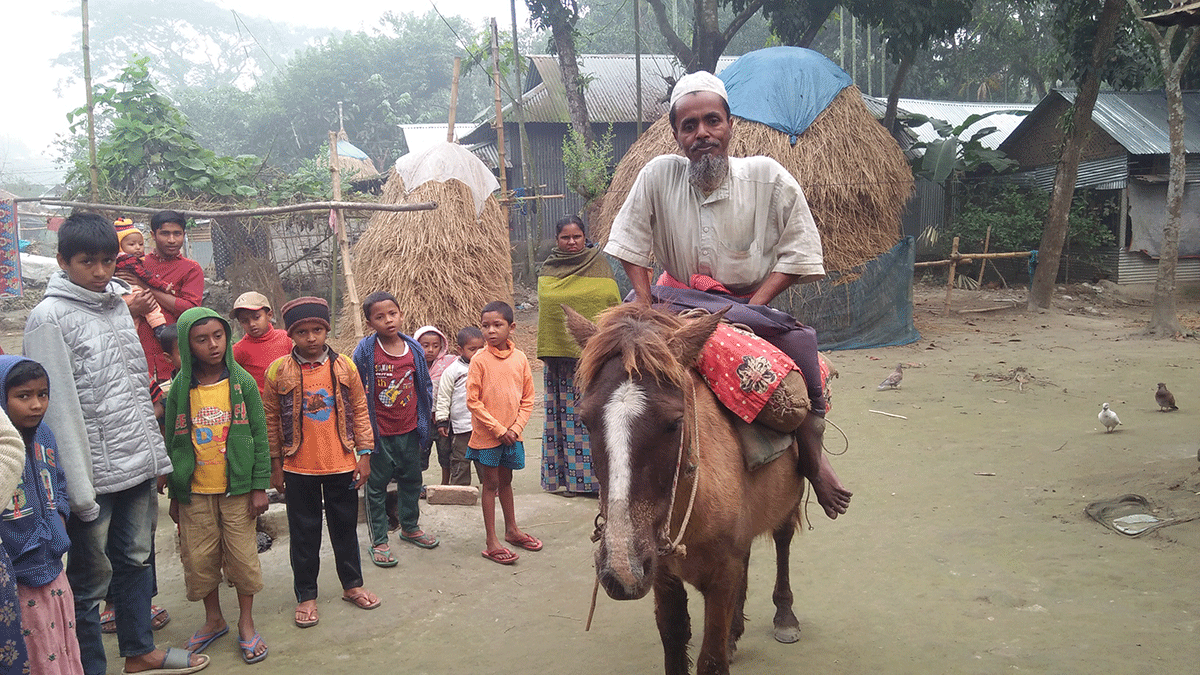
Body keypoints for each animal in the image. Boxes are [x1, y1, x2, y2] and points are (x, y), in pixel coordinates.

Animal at [568, 302, 806, 672]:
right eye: (584, 420)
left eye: (675, 422)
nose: (622, 571)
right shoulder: (662, 576)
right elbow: (675, 640)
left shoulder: (721, 576)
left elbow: (711, 659)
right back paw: (736, 633)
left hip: (789, 500)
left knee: (783, 541)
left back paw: (785, 616)